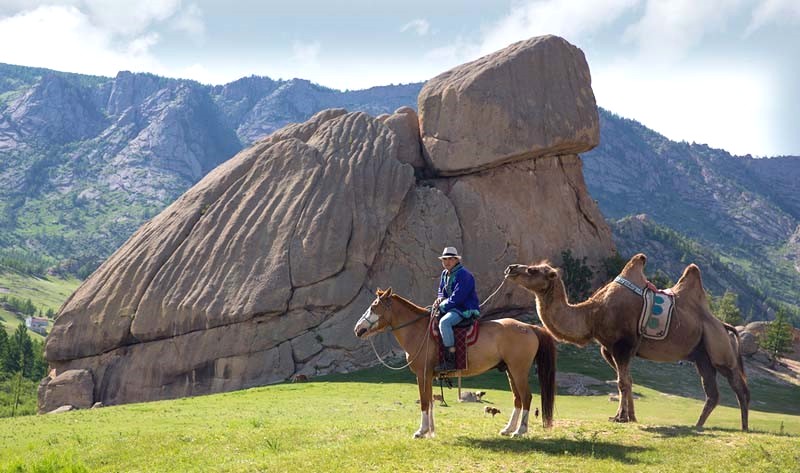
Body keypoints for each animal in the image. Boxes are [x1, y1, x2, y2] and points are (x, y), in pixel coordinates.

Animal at [356, 288, 556, 438]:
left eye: (374, 307)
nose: (357, 329)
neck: (419, 331)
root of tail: (529, 327)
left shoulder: (422, 374)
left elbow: (424, 402)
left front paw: (421, 431)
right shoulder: (429, 376)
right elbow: (430, 401)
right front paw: (430, 431)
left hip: (519, 371)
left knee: (526, 397)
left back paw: (520, 431)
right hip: (510, 371)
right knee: (518, 399)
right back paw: (509, 429)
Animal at [506, 253, 752, 430]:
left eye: (533, 270)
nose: (511, 268)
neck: (593, 314)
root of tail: (725, 326)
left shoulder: (622, 346)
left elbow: (622, 382)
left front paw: (621, 418)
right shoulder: (608, 349)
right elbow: (626, 381)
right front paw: (629, 416)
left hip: (720, 350)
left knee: (739, 387)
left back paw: (744, 428)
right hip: (702, 356)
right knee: (712, 393)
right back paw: (698, 425)